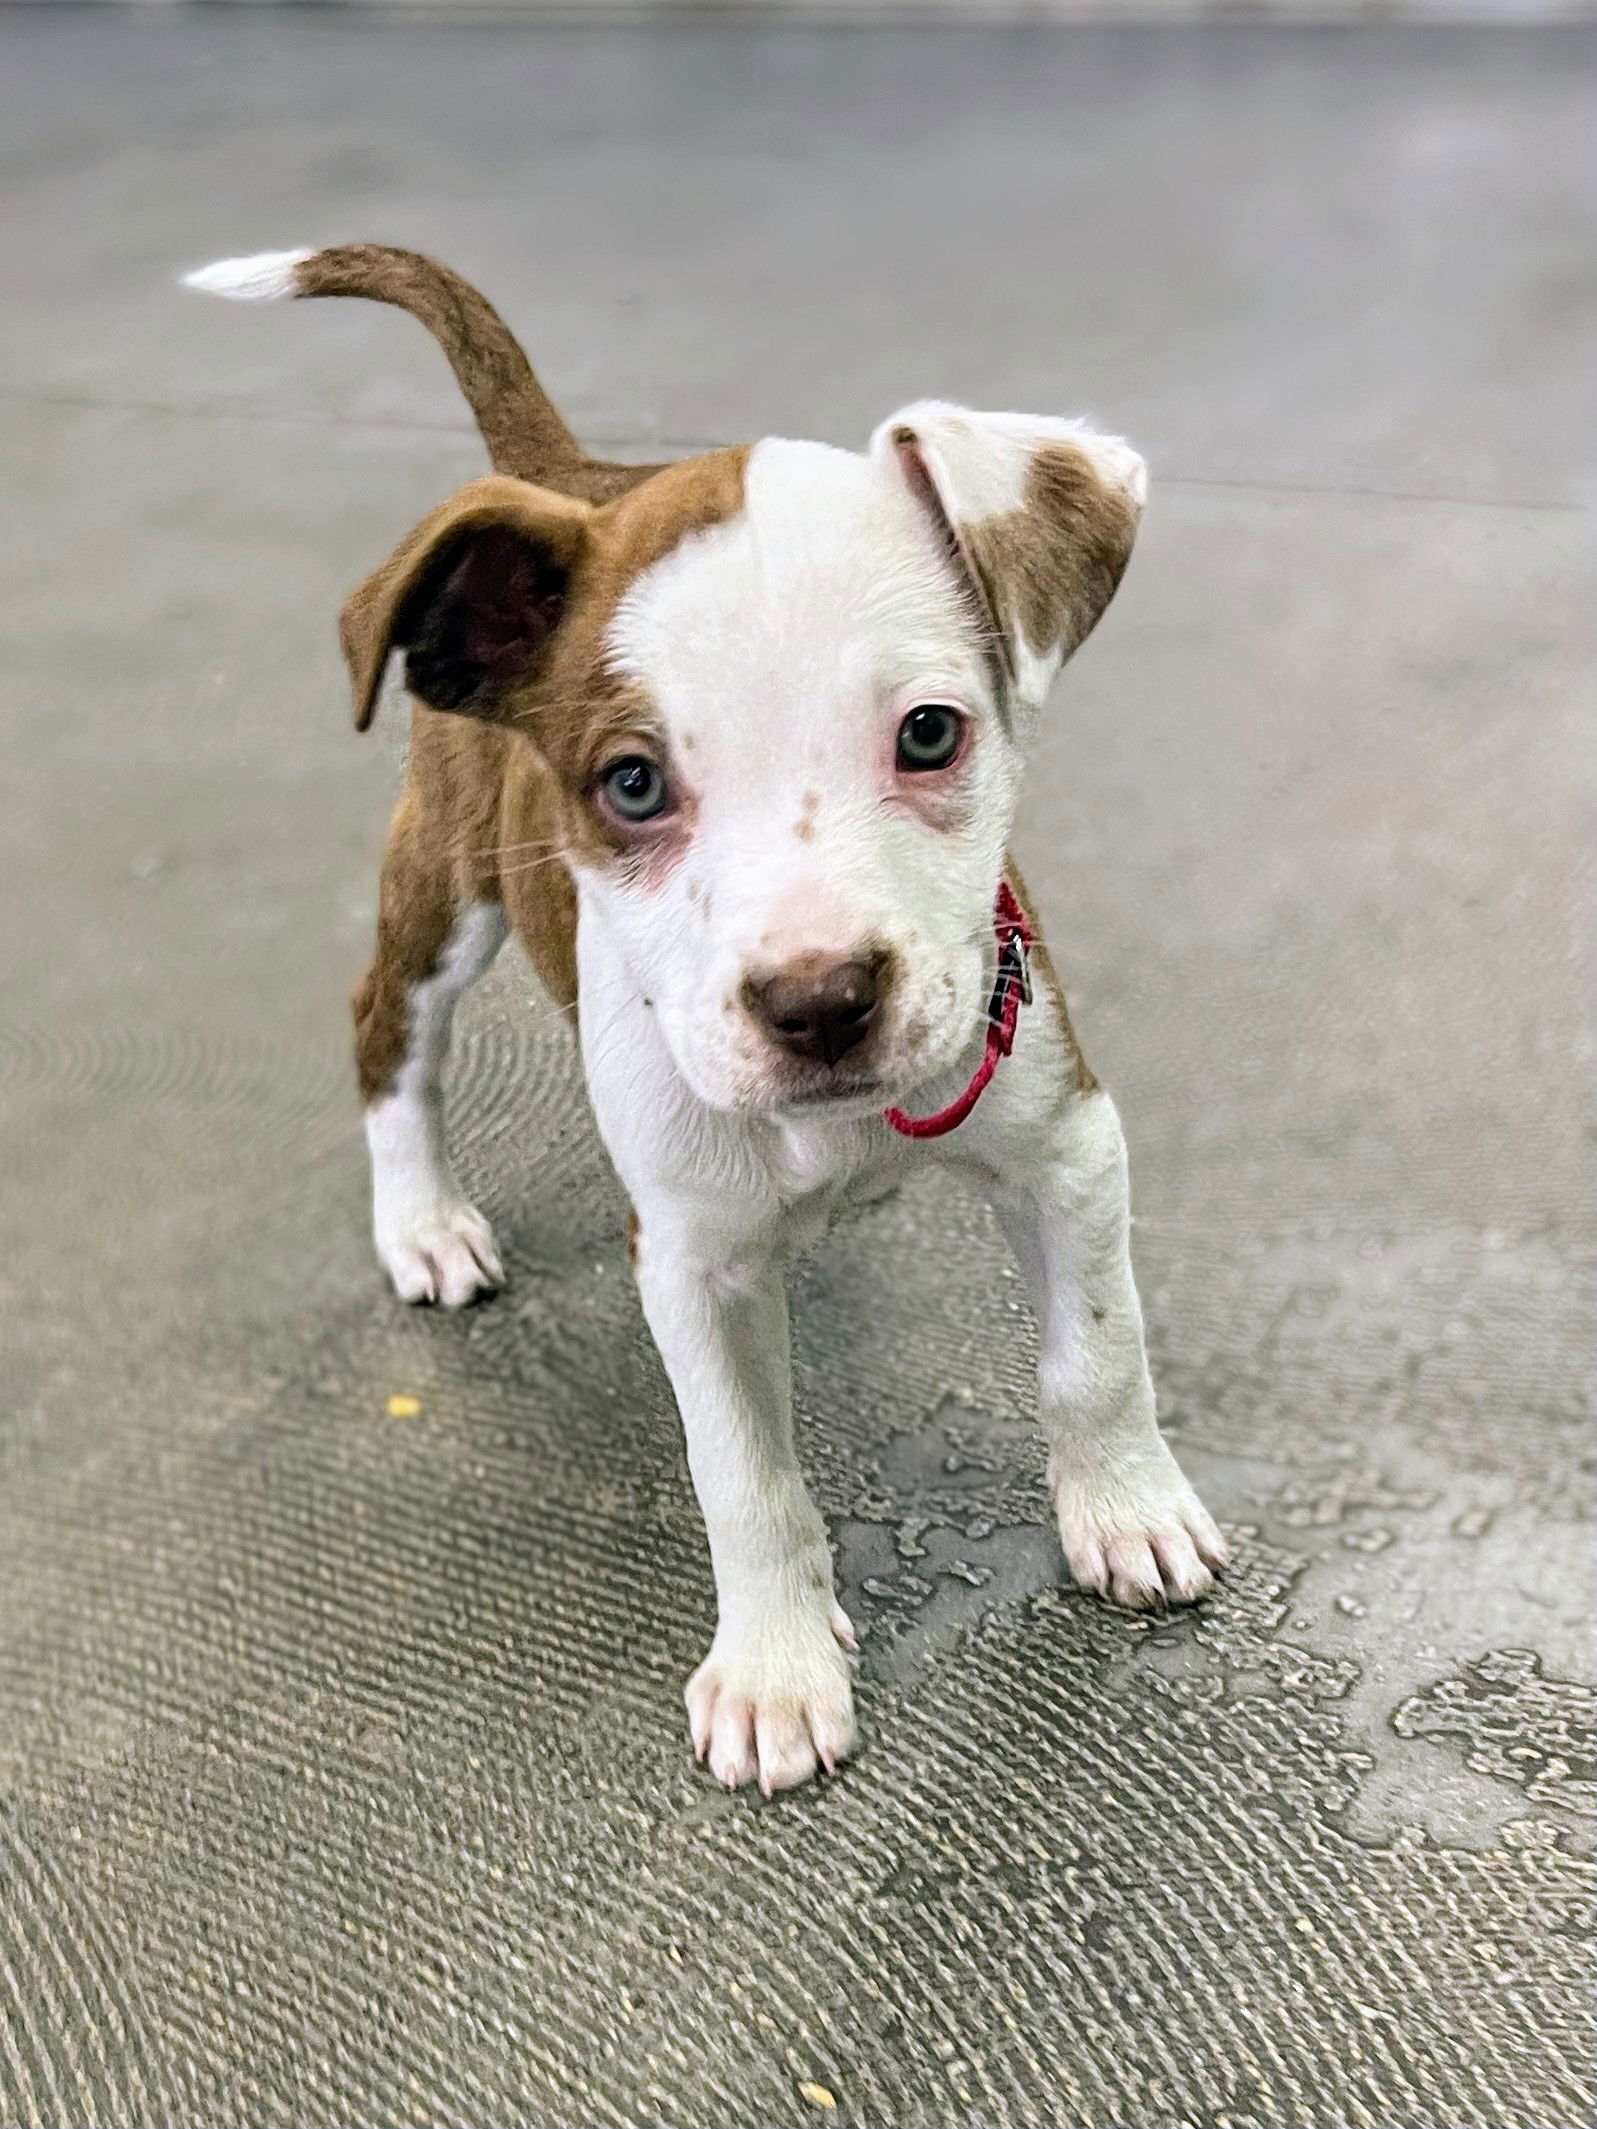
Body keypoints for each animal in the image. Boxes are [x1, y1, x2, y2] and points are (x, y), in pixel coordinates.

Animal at [190, 249, 1235, 1796]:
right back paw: (421, 1219)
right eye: (630, 783)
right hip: (445, 891)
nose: (820, 1001)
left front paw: (1126, 1508)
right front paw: (776, 1670)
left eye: (931, 732)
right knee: (387, 1030)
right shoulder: (685, 1261)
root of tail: (565, 476)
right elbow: (743, 1477)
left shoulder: (1065, 1143)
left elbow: (1097, 1352)